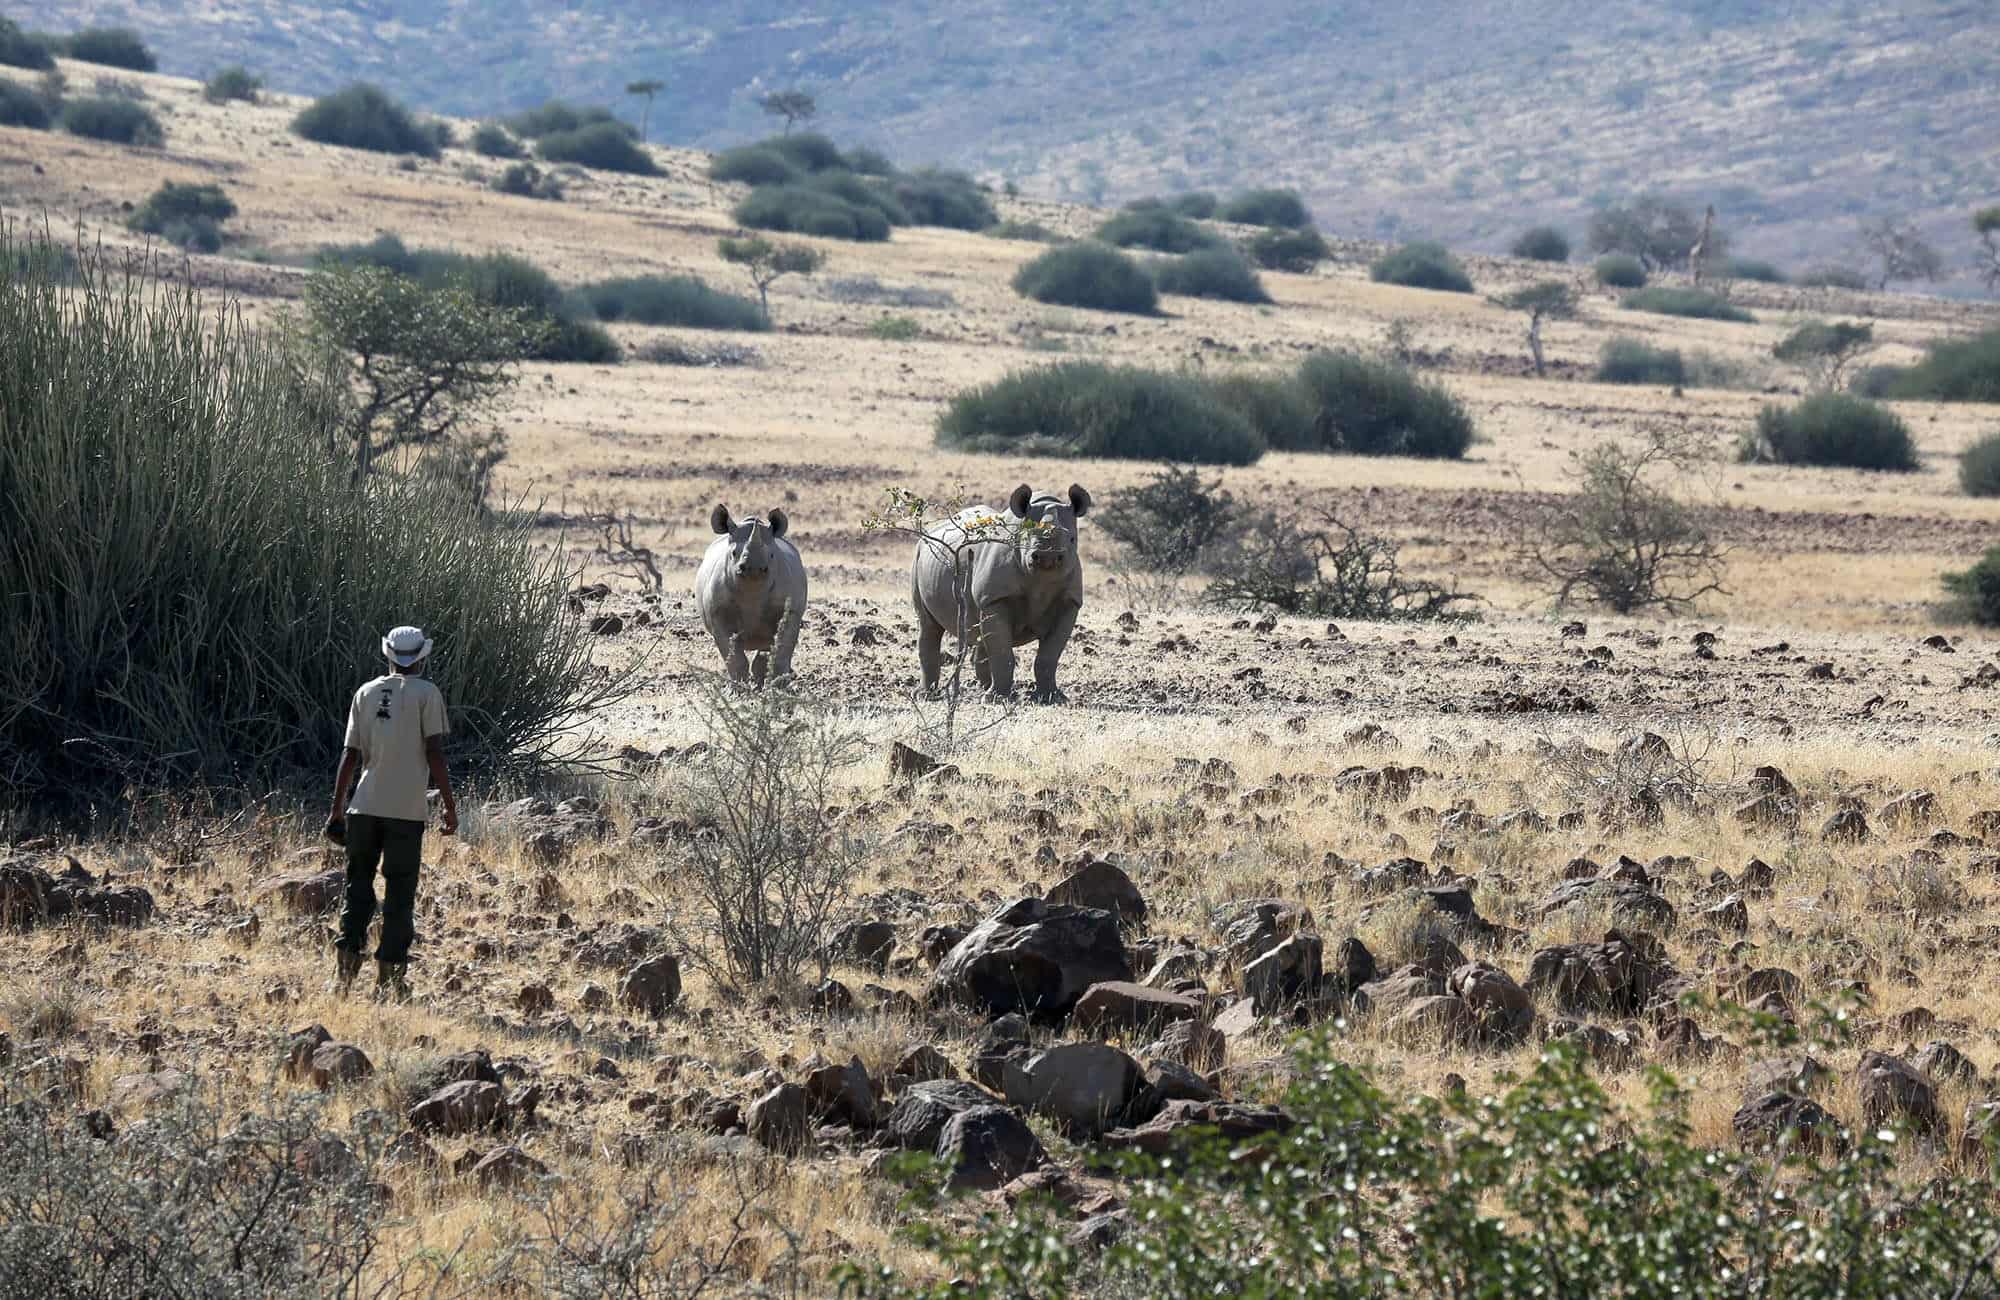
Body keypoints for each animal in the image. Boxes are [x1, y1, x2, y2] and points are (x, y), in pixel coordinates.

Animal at [695, 504, 806, 687]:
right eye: (733, 553)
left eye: (772, 555)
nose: (754, 569)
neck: (753, 592)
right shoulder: (718, 614)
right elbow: (733, 655)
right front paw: (738, 687)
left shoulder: (790, 611)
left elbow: (781, 647)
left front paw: (778, 686)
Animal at [912, 484, 1091, 703]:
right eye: (1025, 537)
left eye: (1073, 539)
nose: (1047, 558)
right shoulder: (995, 598)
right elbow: (1001, 649)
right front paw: (997, 700)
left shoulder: (1070, 602)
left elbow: (1049, 655)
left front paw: (1052, 698)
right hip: (919, 553)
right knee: (929, 625)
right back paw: (927, 695)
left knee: (979, 633)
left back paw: (984, 689)